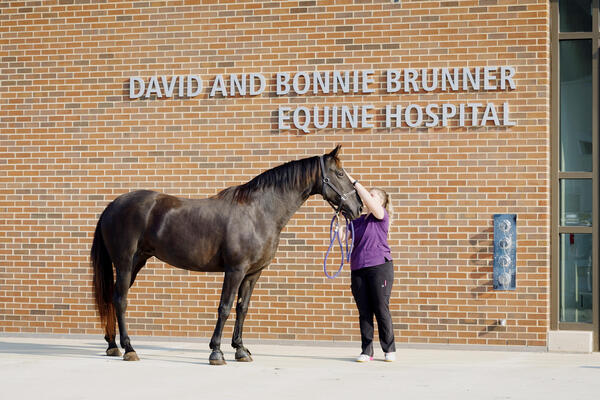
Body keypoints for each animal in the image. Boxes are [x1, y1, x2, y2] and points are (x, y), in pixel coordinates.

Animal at [89, 145, 360, 364]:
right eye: (339, 174)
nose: (358, 207)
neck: (258, 212)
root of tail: (112, 206)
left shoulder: (253, 274)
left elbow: (242, 308)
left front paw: (240, 349)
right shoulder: (235, 270)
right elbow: (225, 307)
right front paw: (216, 352)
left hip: (137, 262)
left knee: (112, 297)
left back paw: (112, 345)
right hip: (125, 263)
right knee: (121, 300)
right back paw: (129, 348)